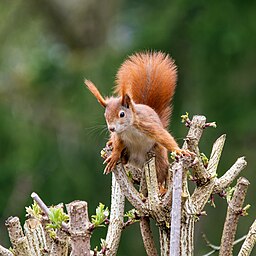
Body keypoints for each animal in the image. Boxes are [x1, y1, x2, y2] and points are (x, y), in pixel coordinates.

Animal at [85, 51, 191, 184]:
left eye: (122, 114)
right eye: (105, 115)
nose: (111, 129)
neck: (128, 128)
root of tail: (138, 162)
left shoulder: (148, 125)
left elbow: (164, 137)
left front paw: (179, 150)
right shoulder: (119, 136)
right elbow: (117, 144)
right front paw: (114, 155)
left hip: (158, 155)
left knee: (161, 174)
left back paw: (161, 186)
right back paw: (119, 154)